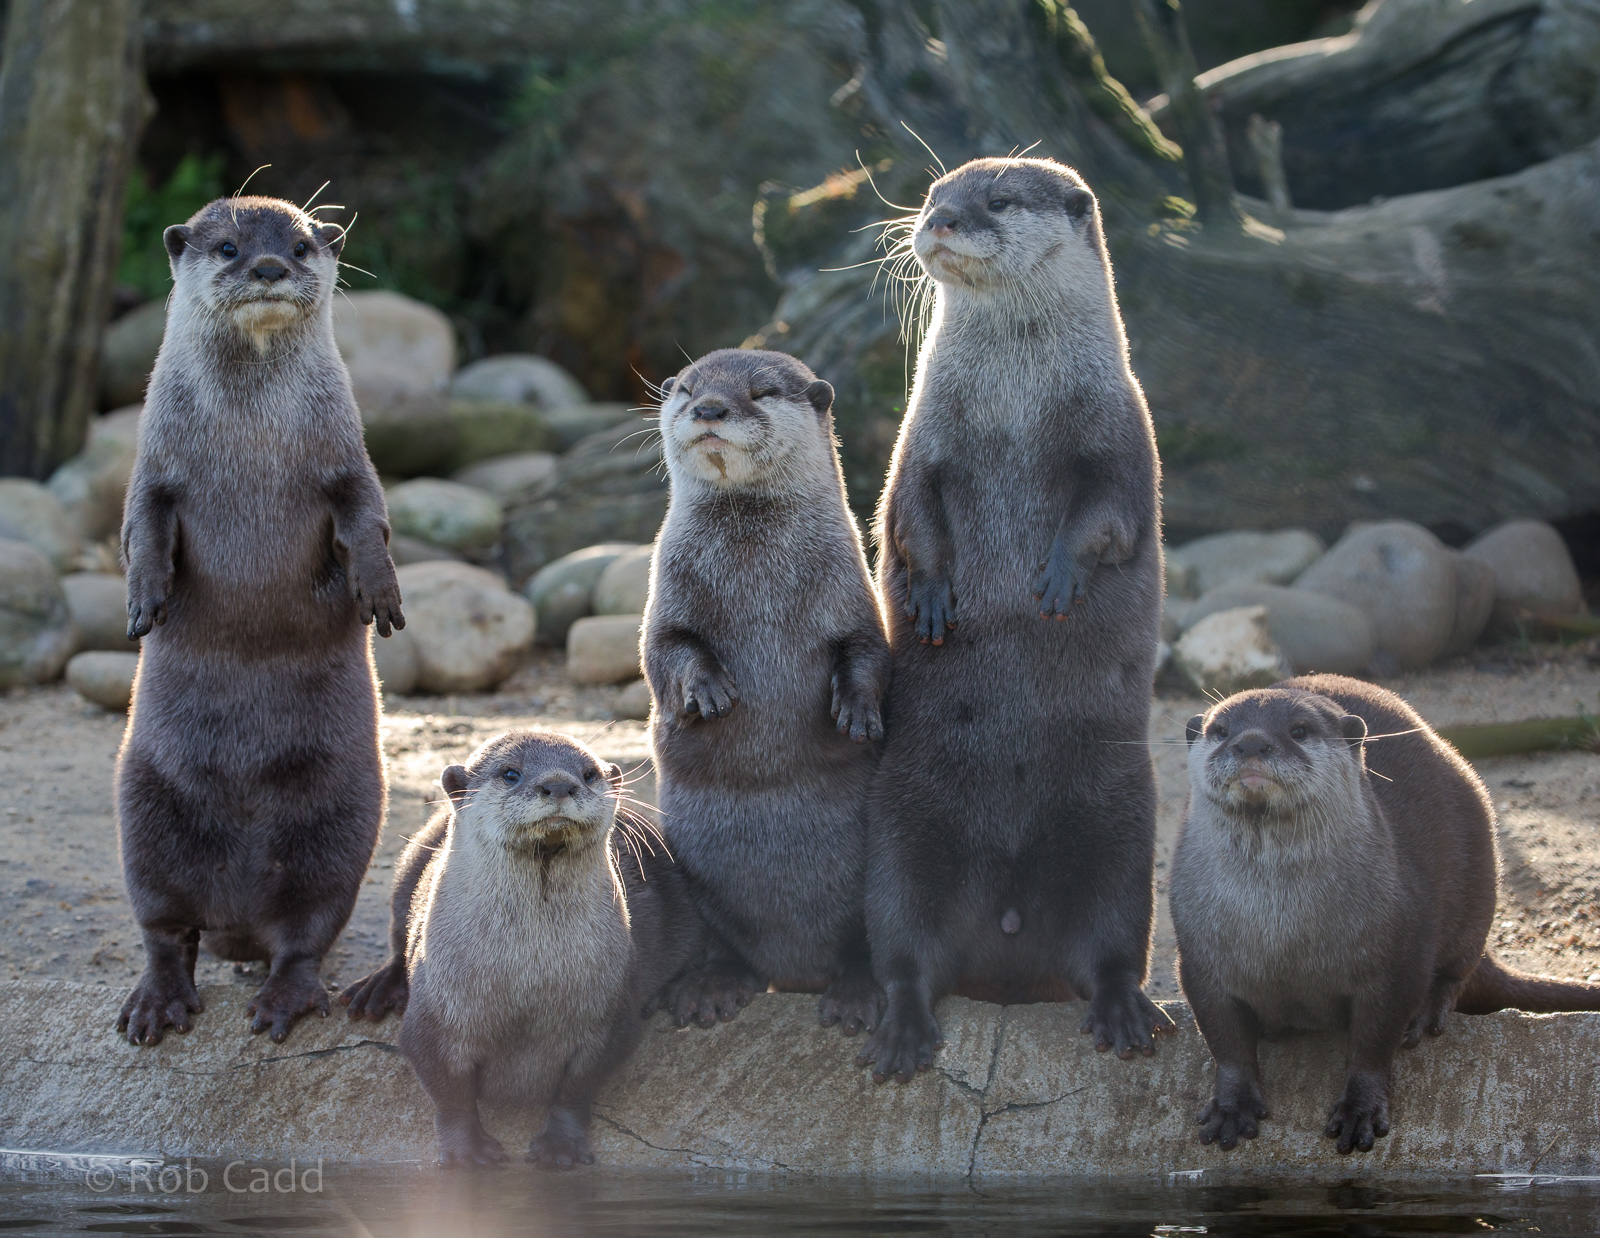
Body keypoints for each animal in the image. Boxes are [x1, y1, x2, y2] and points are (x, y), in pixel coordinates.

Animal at [116, 196, 403, 1046]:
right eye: (228, 246)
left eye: (303, 244)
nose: (270, 266)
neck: (251, 436)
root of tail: (239, 912)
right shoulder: (153, 467)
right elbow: (140, 524)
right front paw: (145, 599)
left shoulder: (347, 459)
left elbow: (367, 518)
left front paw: (380, 594)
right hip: (143, 819)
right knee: (164, 929)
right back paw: (156, 1003)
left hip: (342, 827)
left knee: (304, 935)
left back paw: (281, 998)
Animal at [379, 731, 702, 1168]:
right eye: (510, 773)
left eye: (588, 773)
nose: (560, 785)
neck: (527, 983)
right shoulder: (433, 1017)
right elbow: (450, 1094)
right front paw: (467, 1152)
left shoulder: (608, 1017)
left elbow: (577, 1089)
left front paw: (560, 1147)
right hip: (411, 862)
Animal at [645, 348, 891, 1035]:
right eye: (688, 388)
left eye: (760, 391)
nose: (709, 409)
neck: (755, 566)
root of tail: (795, 967)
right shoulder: (665, 591)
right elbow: (664, 651)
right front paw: (707, 690)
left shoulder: (854, 592)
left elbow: (869, 650)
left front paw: (857, 711)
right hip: (695, 881)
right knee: (723, 943)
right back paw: (712, 987)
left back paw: (858, 993)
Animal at [857, 158, 1171, 1084]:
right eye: (934, 196)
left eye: (995, 201)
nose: (939, 221)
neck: (1014, 407)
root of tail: (1004, 946)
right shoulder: (920, 438)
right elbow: (908, 514)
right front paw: (932, 594)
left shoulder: (1121, 431)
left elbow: (1109, 512)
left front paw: (1059, 575)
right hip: (900, 832)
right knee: (904, 952)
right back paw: (901, 1029)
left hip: (1122, 834)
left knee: (1112, 946)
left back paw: (1127, 1013)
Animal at [1172, 674, 1600, 1154]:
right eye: (1221, 730)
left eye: (1299, 729)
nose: (1250, 742)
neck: (1283, 932)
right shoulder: (1199, 959)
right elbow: (1225, 1040)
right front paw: (1232, 1105)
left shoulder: (1398, 957)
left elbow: (1375, 1040)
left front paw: (1361, 1108)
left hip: (1479, 878)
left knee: (1460, 967)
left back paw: (1428, 1013)